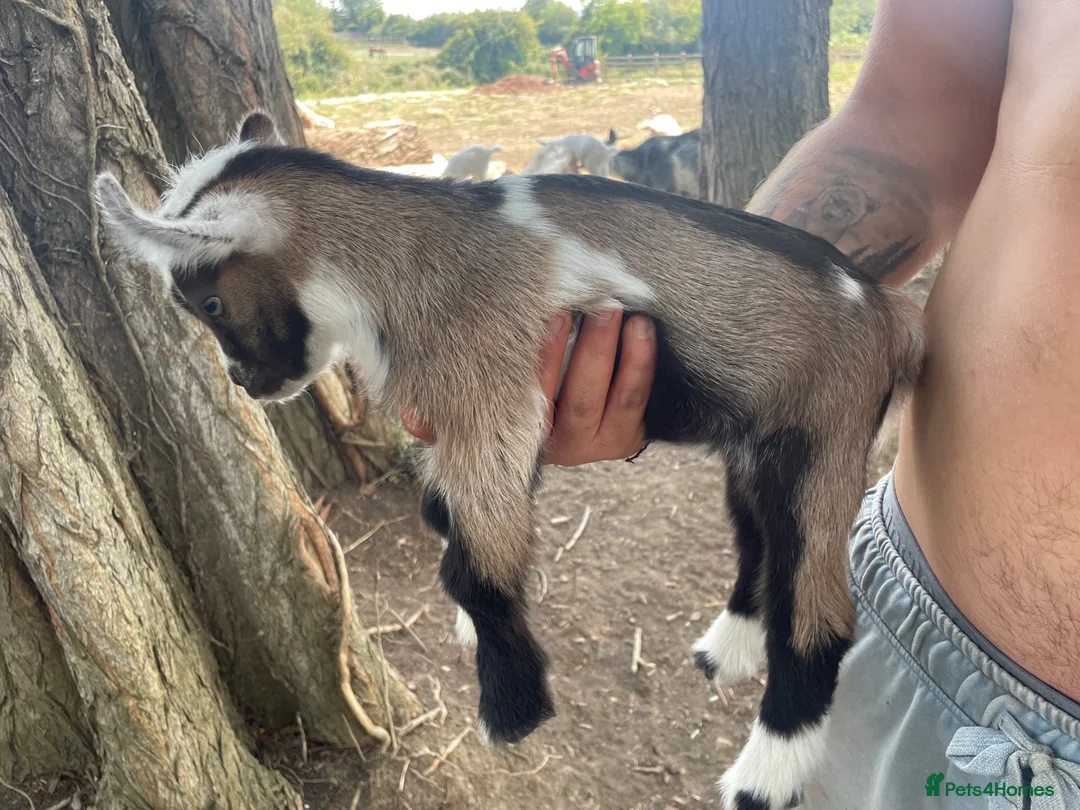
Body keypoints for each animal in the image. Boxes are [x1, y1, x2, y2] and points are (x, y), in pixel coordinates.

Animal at [94, 111, 925, 810]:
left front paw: (513, 709)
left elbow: (475, 566)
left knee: (820, 618)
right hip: (756, 448)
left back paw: (762, 776)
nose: (244, 382)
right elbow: (442, 517)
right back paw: (728, 650)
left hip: (824, 441)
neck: (407, 262)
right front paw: (476, 634)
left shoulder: (489, 392)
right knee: (758, 542)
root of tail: (892, 319)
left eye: (207, 302)